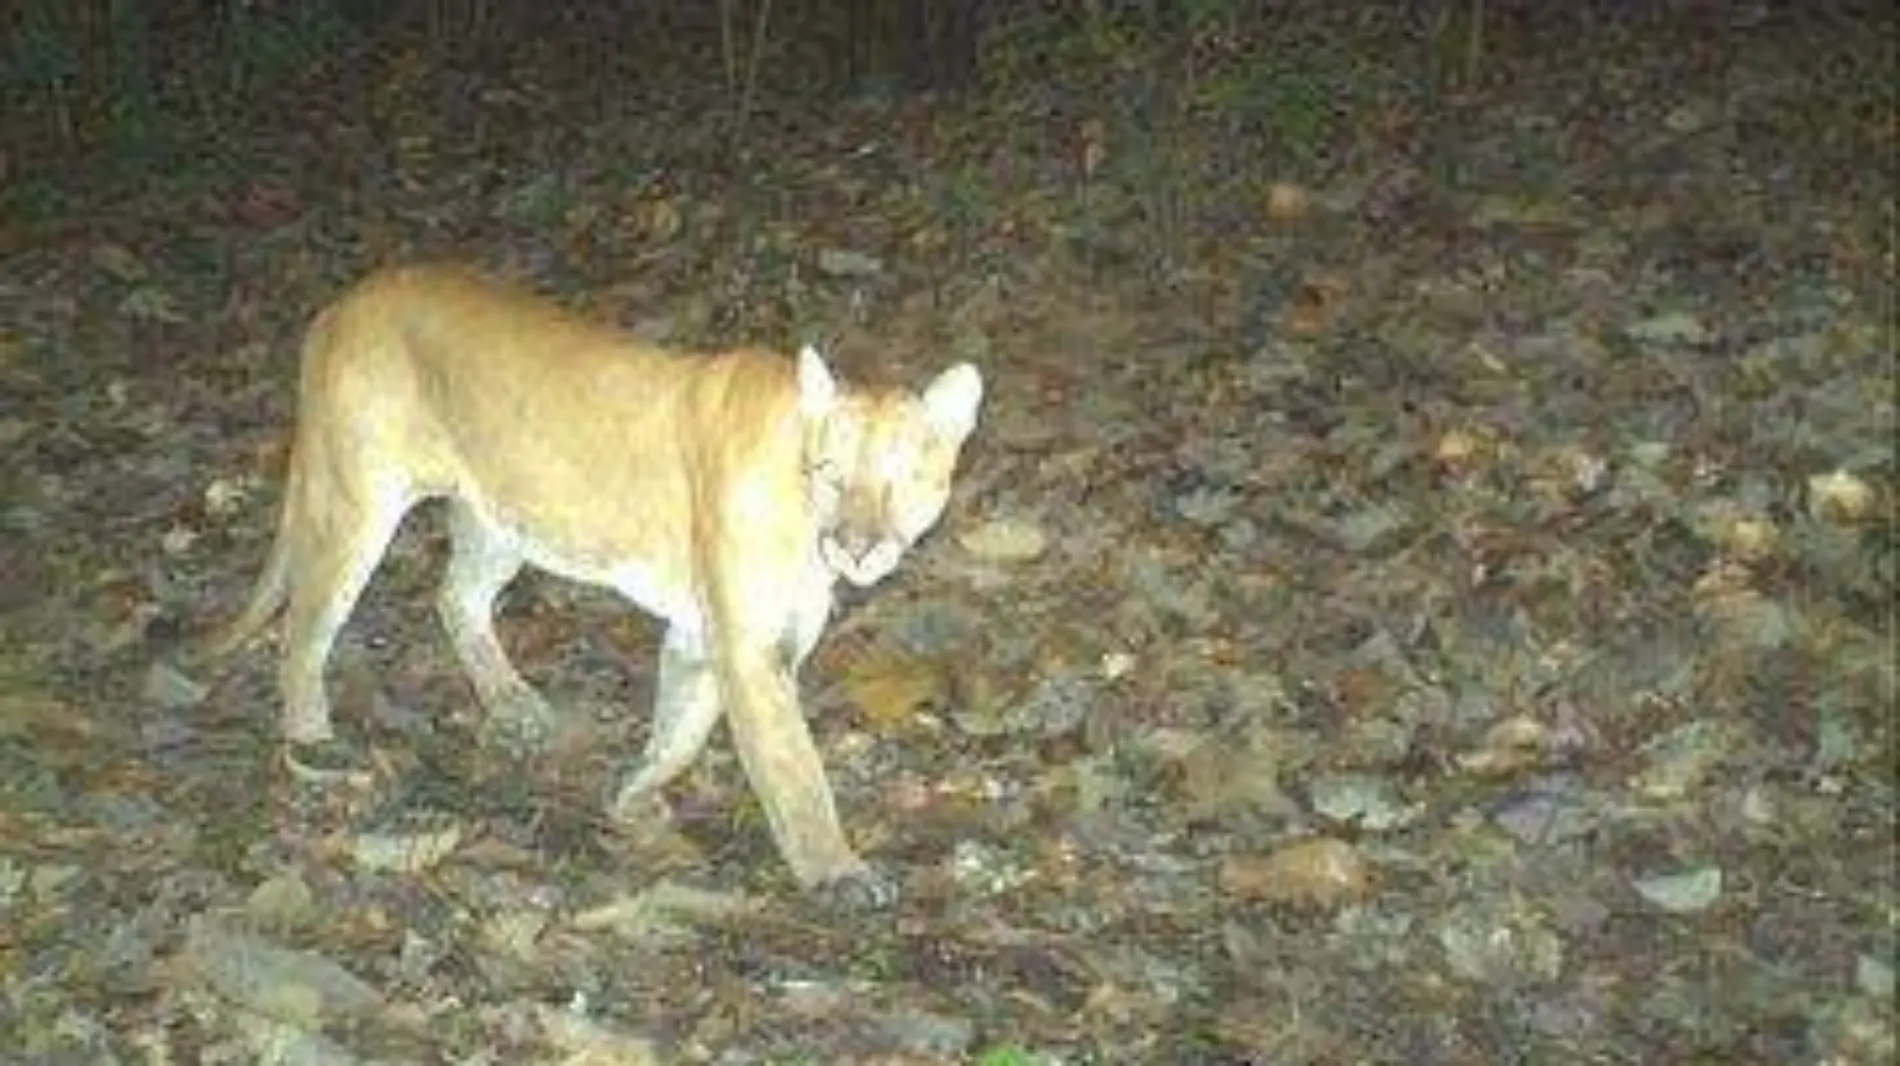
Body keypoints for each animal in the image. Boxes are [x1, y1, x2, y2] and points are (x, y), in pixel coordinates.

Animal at [204, 264, 980, 896]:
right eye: (831, 474)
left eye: (905, 480)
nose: (858, 549)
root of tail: (340, 305)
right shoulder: (750, 648)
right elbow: (792, 767)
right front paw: (837, 870)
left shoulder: (706, 635)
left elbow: (681, 731)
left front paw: (633, 797)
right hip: (356, 502)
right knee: (306, 622)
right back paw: (311, 735)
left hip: (501, 518)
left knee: (454, 596)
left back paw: (512, 703)